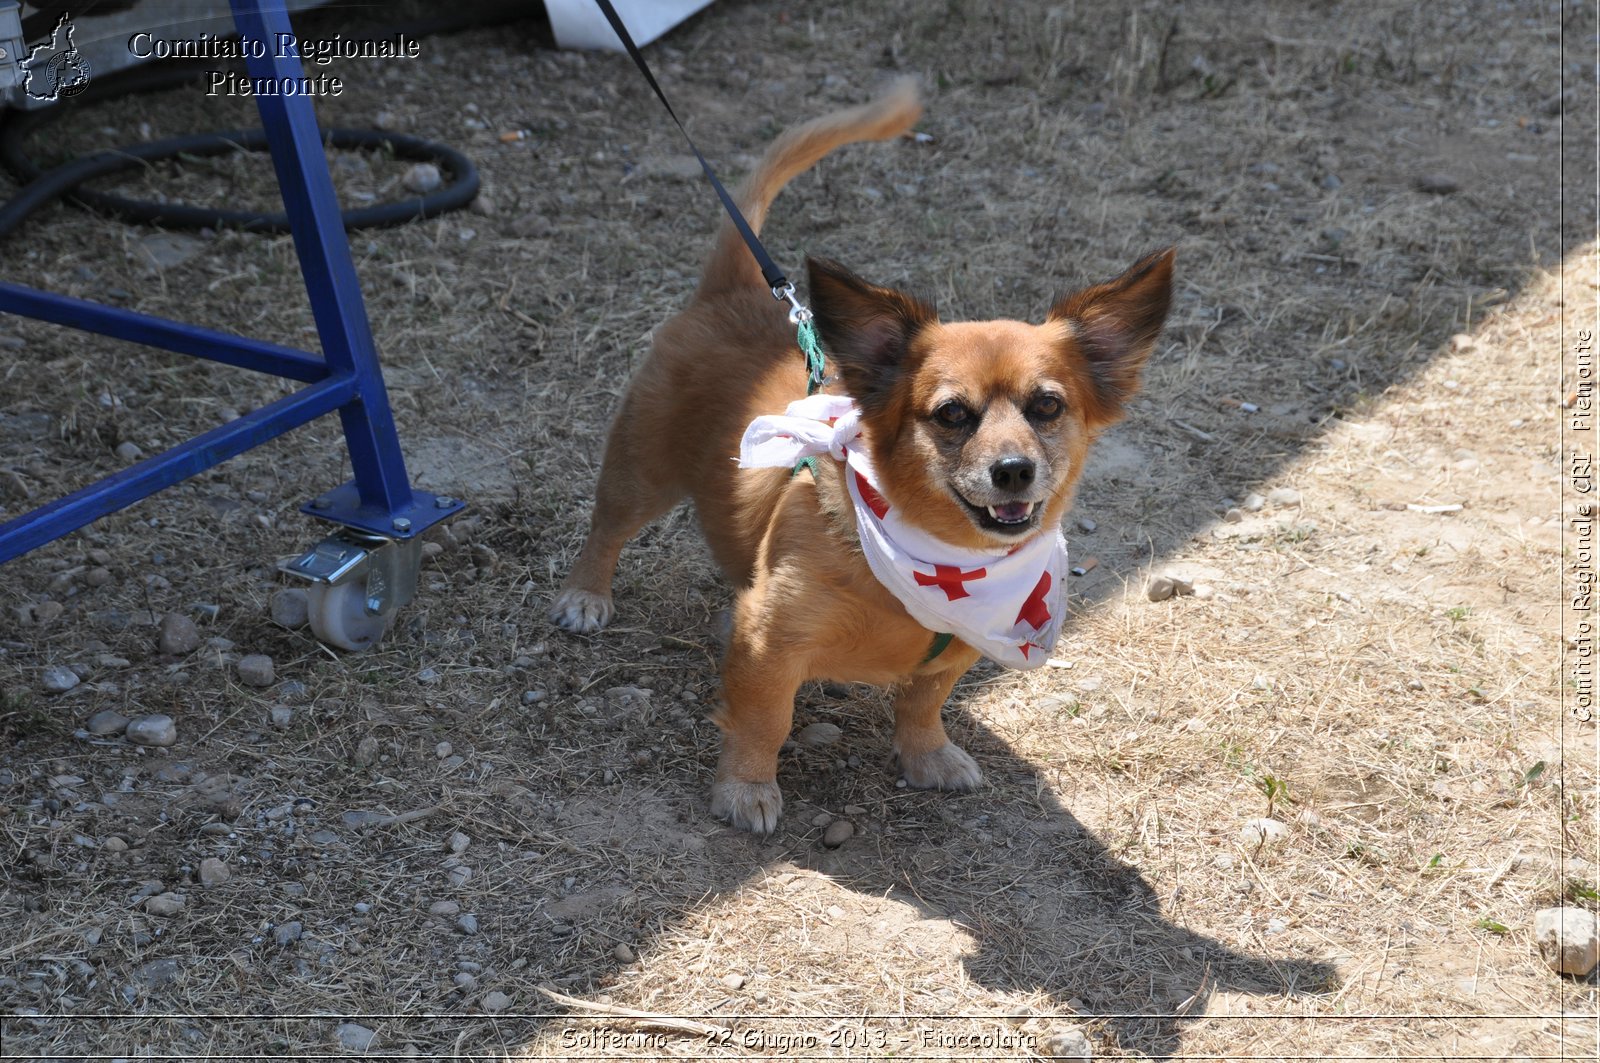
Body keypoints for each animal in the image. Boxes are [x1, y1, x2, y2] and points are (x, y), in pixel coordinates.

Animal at [553, 78, 1177, 832]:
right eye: (951, 413)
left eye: (1048, 406)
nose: (1013, 471)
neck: (939, 555)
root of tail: (733, 290)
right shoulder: (770, 644)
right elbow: (763, 719)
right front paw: (746, 789)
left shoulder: (954, 653)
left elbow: (923, 702)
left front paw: (927, 756)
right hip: (642, 469)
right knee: (607, 528)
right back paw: (586, 594)